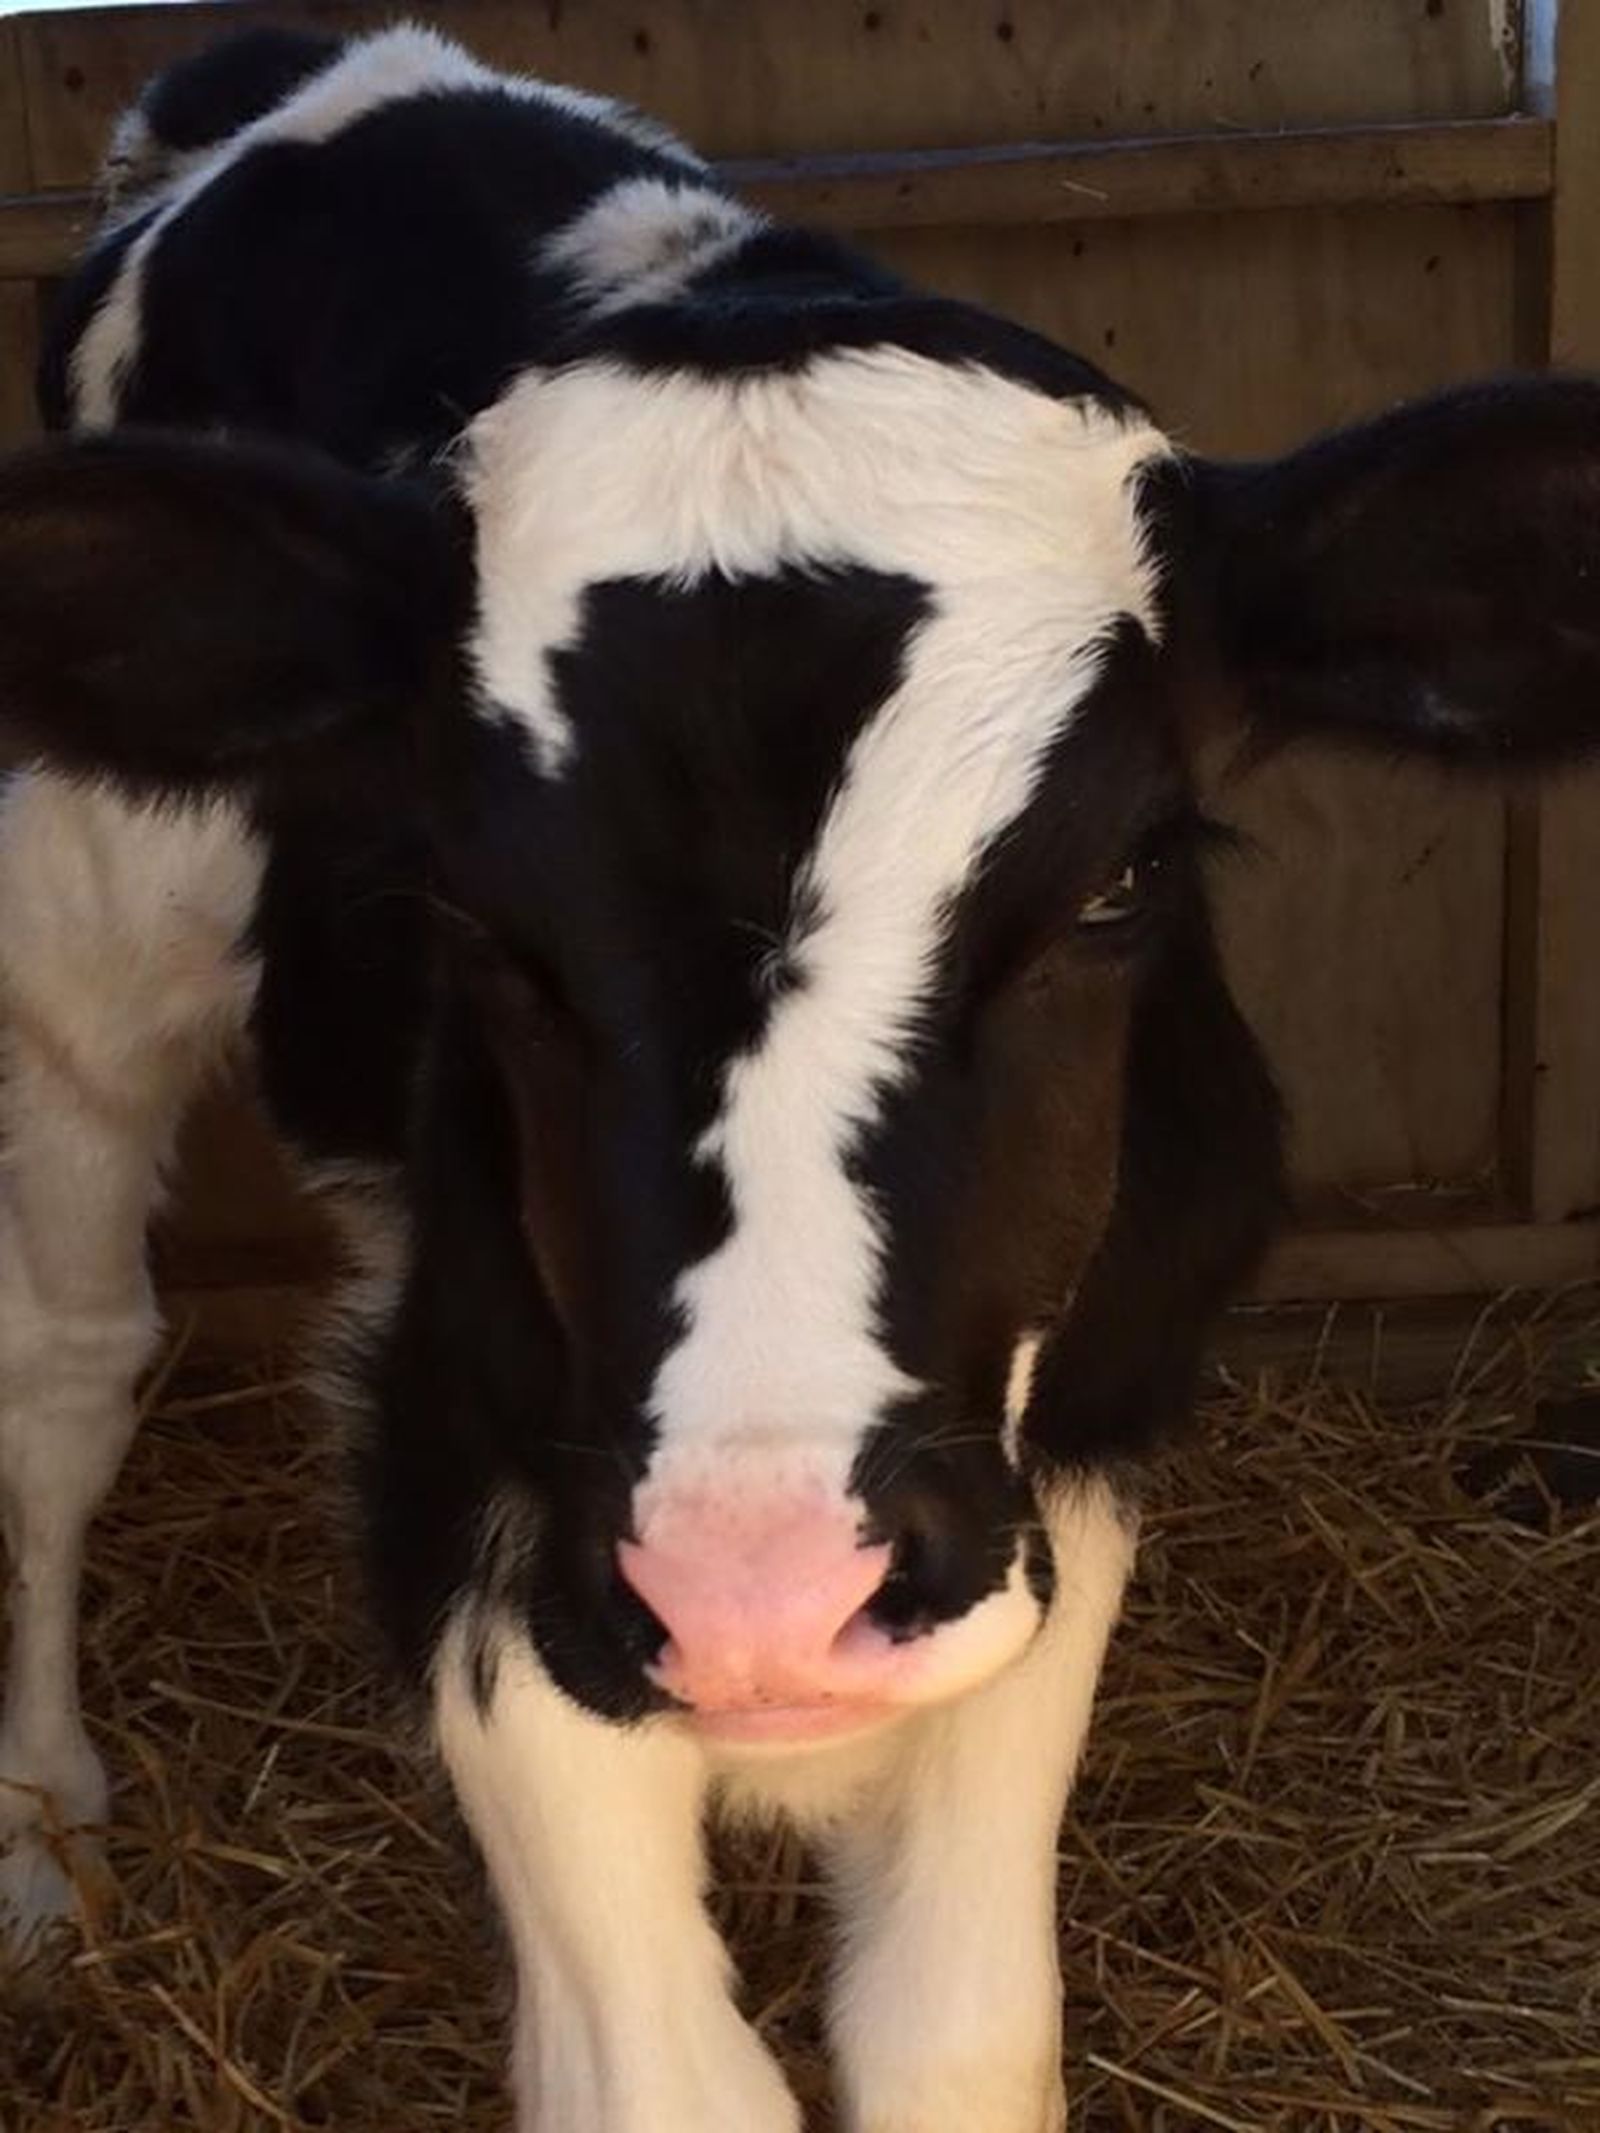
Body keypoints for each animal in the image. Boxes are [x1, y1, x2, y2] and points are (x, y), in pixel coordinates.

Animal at [0, 23, 1596, 2133]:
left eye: (1119, 881)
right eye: (478, 913)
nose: (755, 1590)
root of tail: (317, 70)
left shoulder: (1057, 1467)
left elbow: (957, 2029)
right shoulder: (478, 1470)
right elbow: (670, 2082)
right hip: (80, 933)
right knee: (64, 1371)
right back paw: (43, 1840)